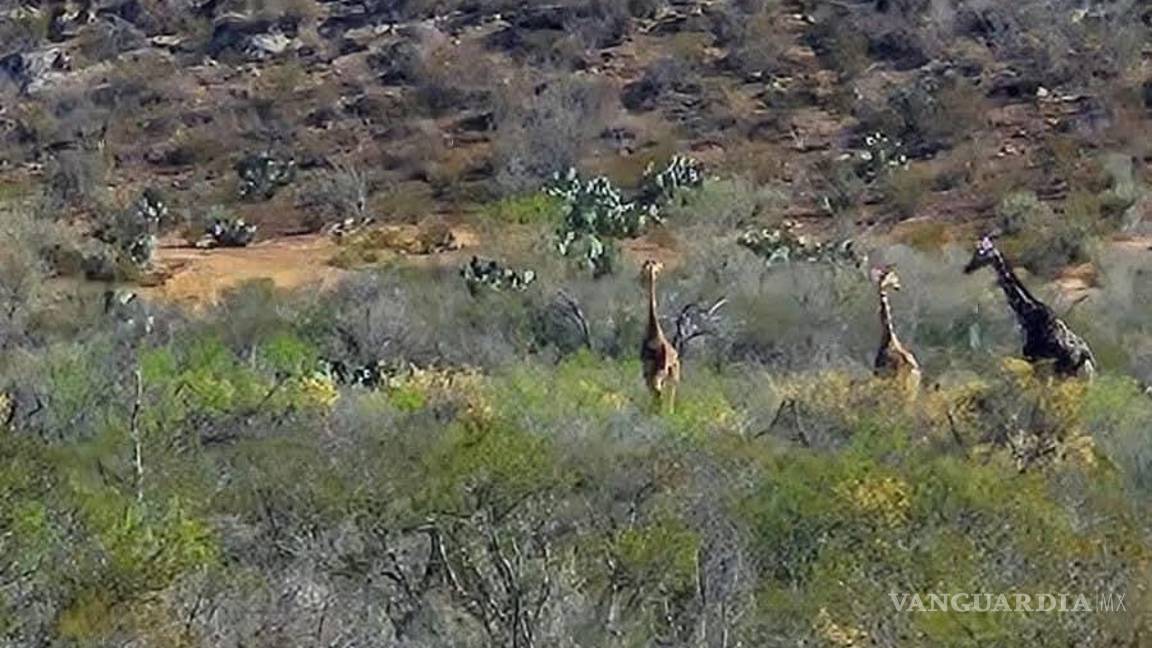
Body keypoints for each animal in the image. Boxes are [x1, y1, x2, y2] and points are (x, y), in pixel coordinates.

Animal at [866, 264, 921, 394]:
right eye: (892, 277)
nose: (898, 287)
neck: (889, 337)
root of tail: (912, 370)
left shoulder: (877, 374)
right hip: (912, 389)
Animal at [958, 237, 1092, 378]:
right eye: (976, 251)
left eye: (981, 253)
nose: (967, 268)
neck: (1026, 309)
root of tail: (1086, 355)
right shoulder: (1032, 354)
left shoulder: (1030, 352)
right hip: (1068, 368)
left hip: (1064, 367)